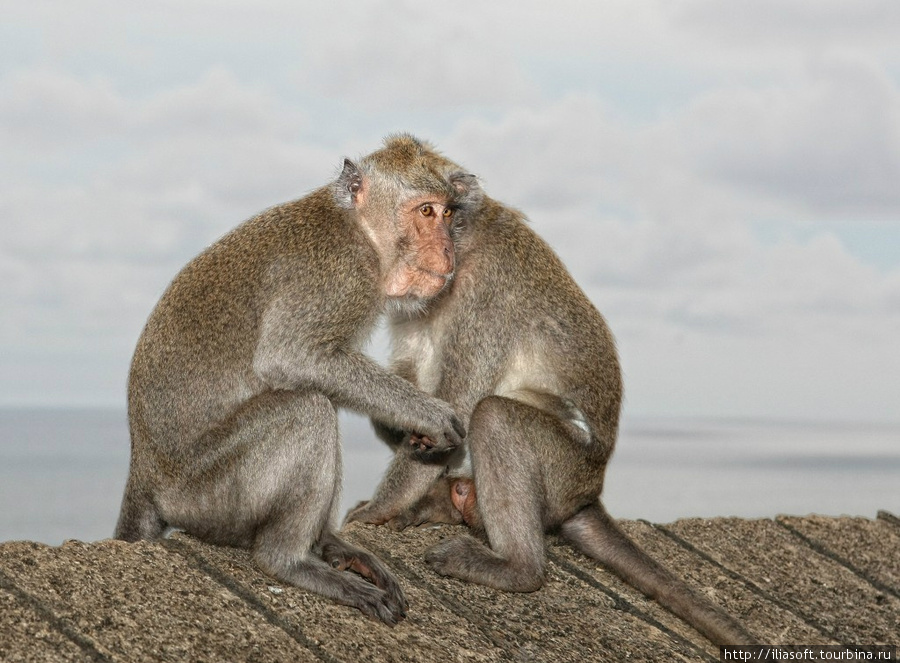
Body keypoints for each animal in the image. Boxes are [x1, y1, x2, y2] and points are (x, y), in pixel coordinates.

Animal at [115, 135, 482, 628]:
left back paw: (328, 543)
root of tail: (144, 470)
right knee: (305, 410)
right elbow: (290, 356)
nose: (448, 250)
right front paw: (431, 415)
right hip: (205, 496)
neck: (361, 232)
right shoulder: (338, 276)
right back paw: (289, 561)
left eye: (447, 213)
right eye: (425, 211)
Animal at [348, 152, 756, 644]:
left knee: (495, 417)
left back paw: (517, 568)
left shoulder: (486, 293)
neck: (465, 248)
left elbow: (459, 406)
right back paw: (447, 502)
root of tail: (589, 491)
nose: (435, 249)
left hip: (564, 468)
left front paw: (376, 510)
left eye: (441, 213)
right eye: (423, 213)